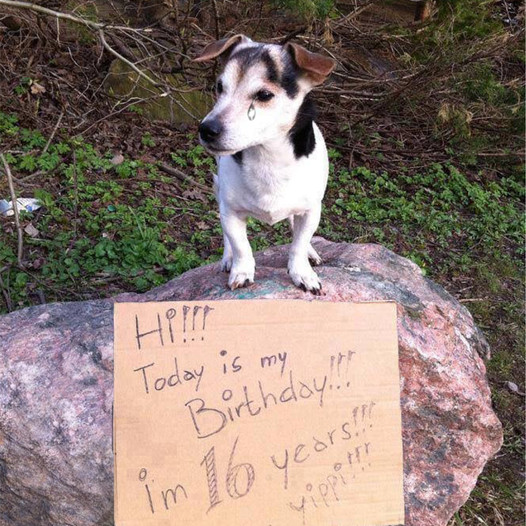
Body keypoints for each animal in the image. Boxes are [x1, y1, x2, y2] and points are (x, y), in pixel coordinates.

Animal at [196, 35, 336, 294]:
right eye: (219, 87)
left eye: (263, 95)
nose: (207, 129)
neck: (267, 157)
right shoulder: (230, 212)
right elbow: (240, 245)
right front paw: (242, 270)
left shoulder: (311, 210)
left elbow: (299, 243)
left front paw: (302, 271)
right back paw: (228, 258)